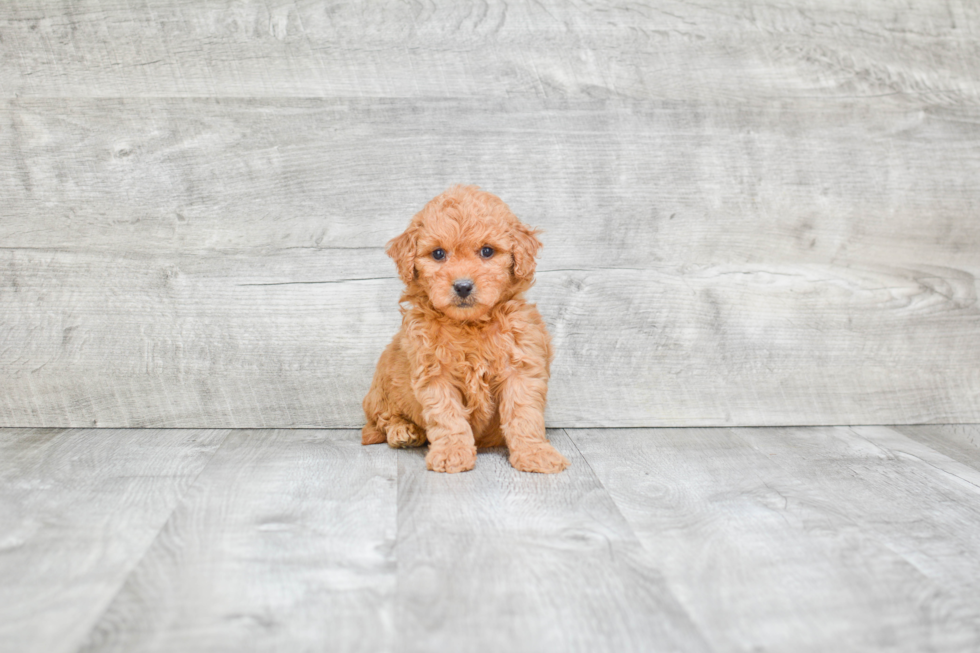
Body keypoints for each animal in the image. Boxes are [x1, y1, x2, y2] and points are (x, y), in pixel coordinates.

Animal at [364, 185, 572, 474]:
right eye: (438, 254)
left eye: (487, 251)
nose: (463, 286)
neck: (471, 324)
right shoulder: (434, 372)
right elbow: (447, 416)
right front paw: (452, 453)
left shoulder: (521, 365)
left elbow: (523, 413)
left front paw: (535, 453)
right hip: (381, 387)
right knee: (381, 420)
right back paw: (403, 431)